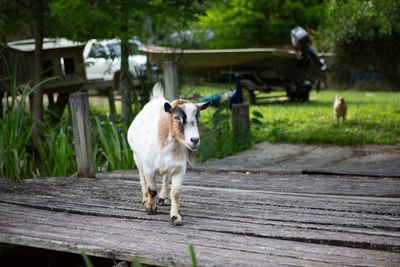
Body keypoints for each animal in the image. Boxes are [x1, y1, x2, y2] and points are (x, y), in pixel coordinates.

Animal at [127, 84, 209, 226]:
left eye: (198, 117)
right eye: (176, 117)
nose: (194, 140)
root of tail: (157, 98)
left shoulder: (180, 169)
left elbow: (176, 193)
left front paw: (175, 217)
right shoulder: (148, 168)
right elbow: (152, 189)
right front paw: (150, 208)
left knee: (165, 177)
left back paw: (163, 198)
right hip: (136, 157)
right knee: (141, 177)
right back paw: (145, 199)